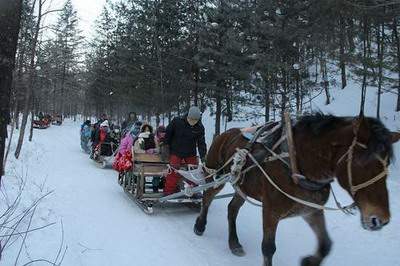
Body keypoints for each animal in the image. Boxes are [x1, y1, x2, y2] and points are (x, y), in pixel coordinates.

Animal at [194, 113, 400, 266]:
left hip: (242, 187)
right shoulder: (271, 210)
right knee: (207, 197)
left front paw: (308, 260)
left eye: (387, 165)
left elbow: (325, 245)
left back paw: (234, 243)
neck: (297, 163)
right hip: (216, 175)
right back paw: (200, 225)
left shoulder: (310, 210)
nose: (380, 219)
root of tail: (224, 134)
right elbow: (268, 248)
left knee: (232, 208)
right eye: (363, 162)